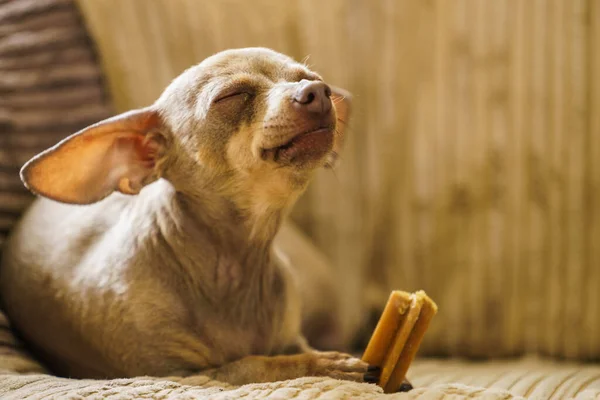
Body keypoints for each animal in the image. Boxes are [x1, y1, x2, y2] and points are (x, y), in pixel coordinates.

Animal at [0, 47, 384, 388]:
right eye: (232, 96)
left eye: (311, 78)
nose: (317, 92)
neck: (234, 267)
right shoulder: (180, 374)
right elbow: (252, 364)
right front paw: (321, 365)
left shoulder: (291, 336)